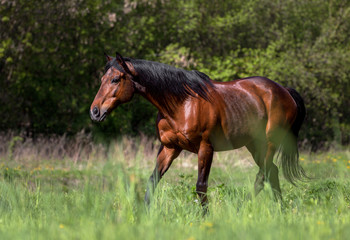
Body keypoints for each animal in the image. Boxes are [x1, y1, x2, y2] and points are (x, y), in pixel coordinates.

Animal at [89, 53, 306, 207]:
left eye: (115, 79)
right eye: (102, 79)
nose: (95, 111)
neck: (181, 104)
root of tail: (284, 92)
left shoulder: (205, 148)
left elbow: (201, 186)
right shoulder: (169, 148)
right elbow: (153, 181)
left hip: (269, 143)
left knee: (263, 176)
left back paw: (243, 209)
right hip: (254, 145)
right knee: (271, 173)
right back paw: (280, 210)